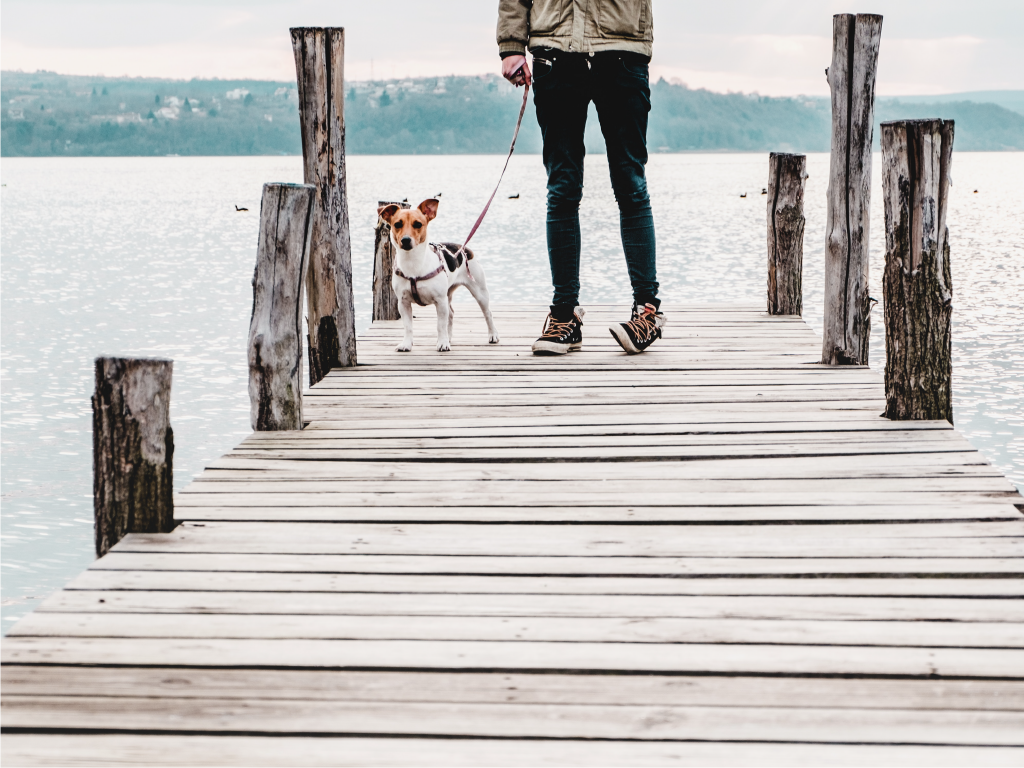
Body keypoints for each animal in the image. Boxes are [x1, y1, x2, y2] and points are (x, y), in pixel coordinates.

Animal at [380, 198, 499, 354]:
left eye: (418, 224)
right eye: (397, 224)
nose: (405, 240)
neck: (413, 264)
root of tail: (464, 248)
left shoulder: (440, 301)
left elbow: (440, 325)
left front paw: (442, 343)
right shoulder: (403, 303)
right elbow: (408, 327)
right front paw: (406, 344)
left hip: (479, 292)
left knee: (487, 313)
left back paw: (493, 335)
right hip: (448, 294)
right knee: (451, 314)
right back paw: (449, 338)